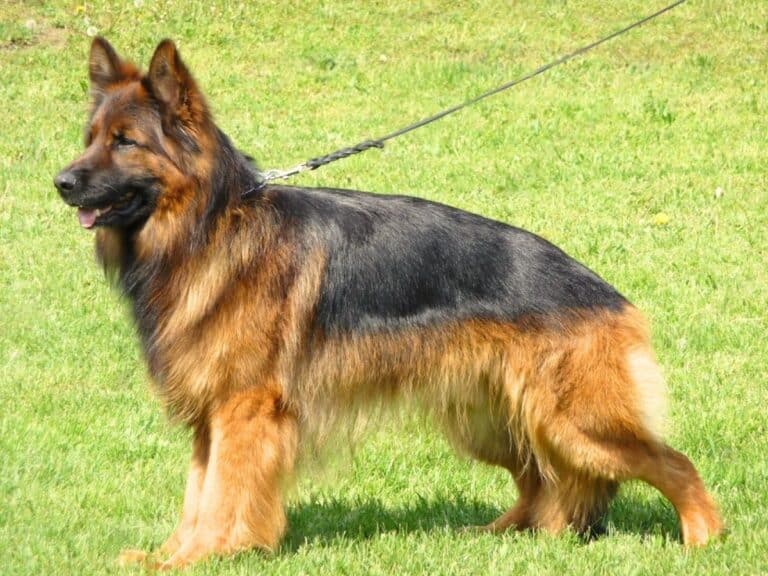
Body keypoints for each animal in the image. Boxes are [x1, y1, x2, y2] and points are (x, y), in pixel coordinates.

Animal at [52, 39, 720, 568]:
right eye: (91, 140)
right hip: (493, 420)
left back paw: (703, 538)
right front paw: (174, 554)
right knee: (546, 486)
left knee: (670, 464)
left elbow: (223, 494)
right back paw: (500, 535)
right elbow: (199, 492)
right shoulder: (210, 416)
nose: (60, 182)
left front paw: (206, 556)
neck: (212, 225)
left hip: (575, 422)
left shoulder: (243, 411)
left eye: (125, 142)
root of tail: (606, 292)